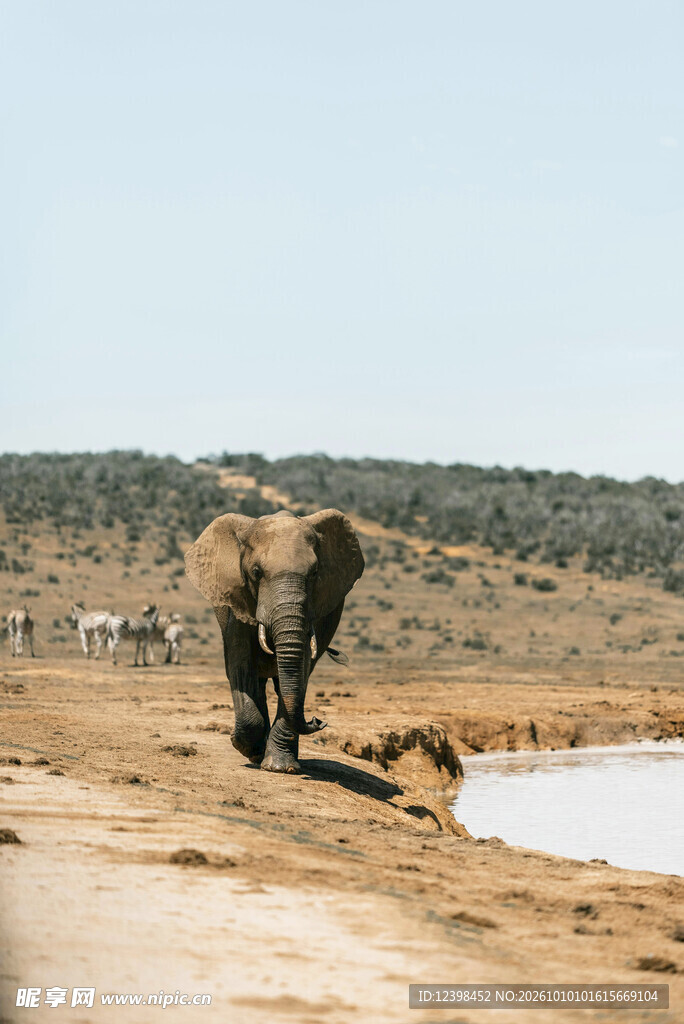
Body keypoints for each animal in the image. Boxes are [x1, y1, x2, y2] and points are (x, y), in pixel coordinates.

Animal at [184, 508, 364, 774]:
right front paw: (248, 749)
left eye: (315, 573)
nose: (318, 720)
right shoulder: (237, 603)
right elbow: (240, 665)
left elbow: (301, 667)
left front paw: (280, 768)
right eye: (256, 572)